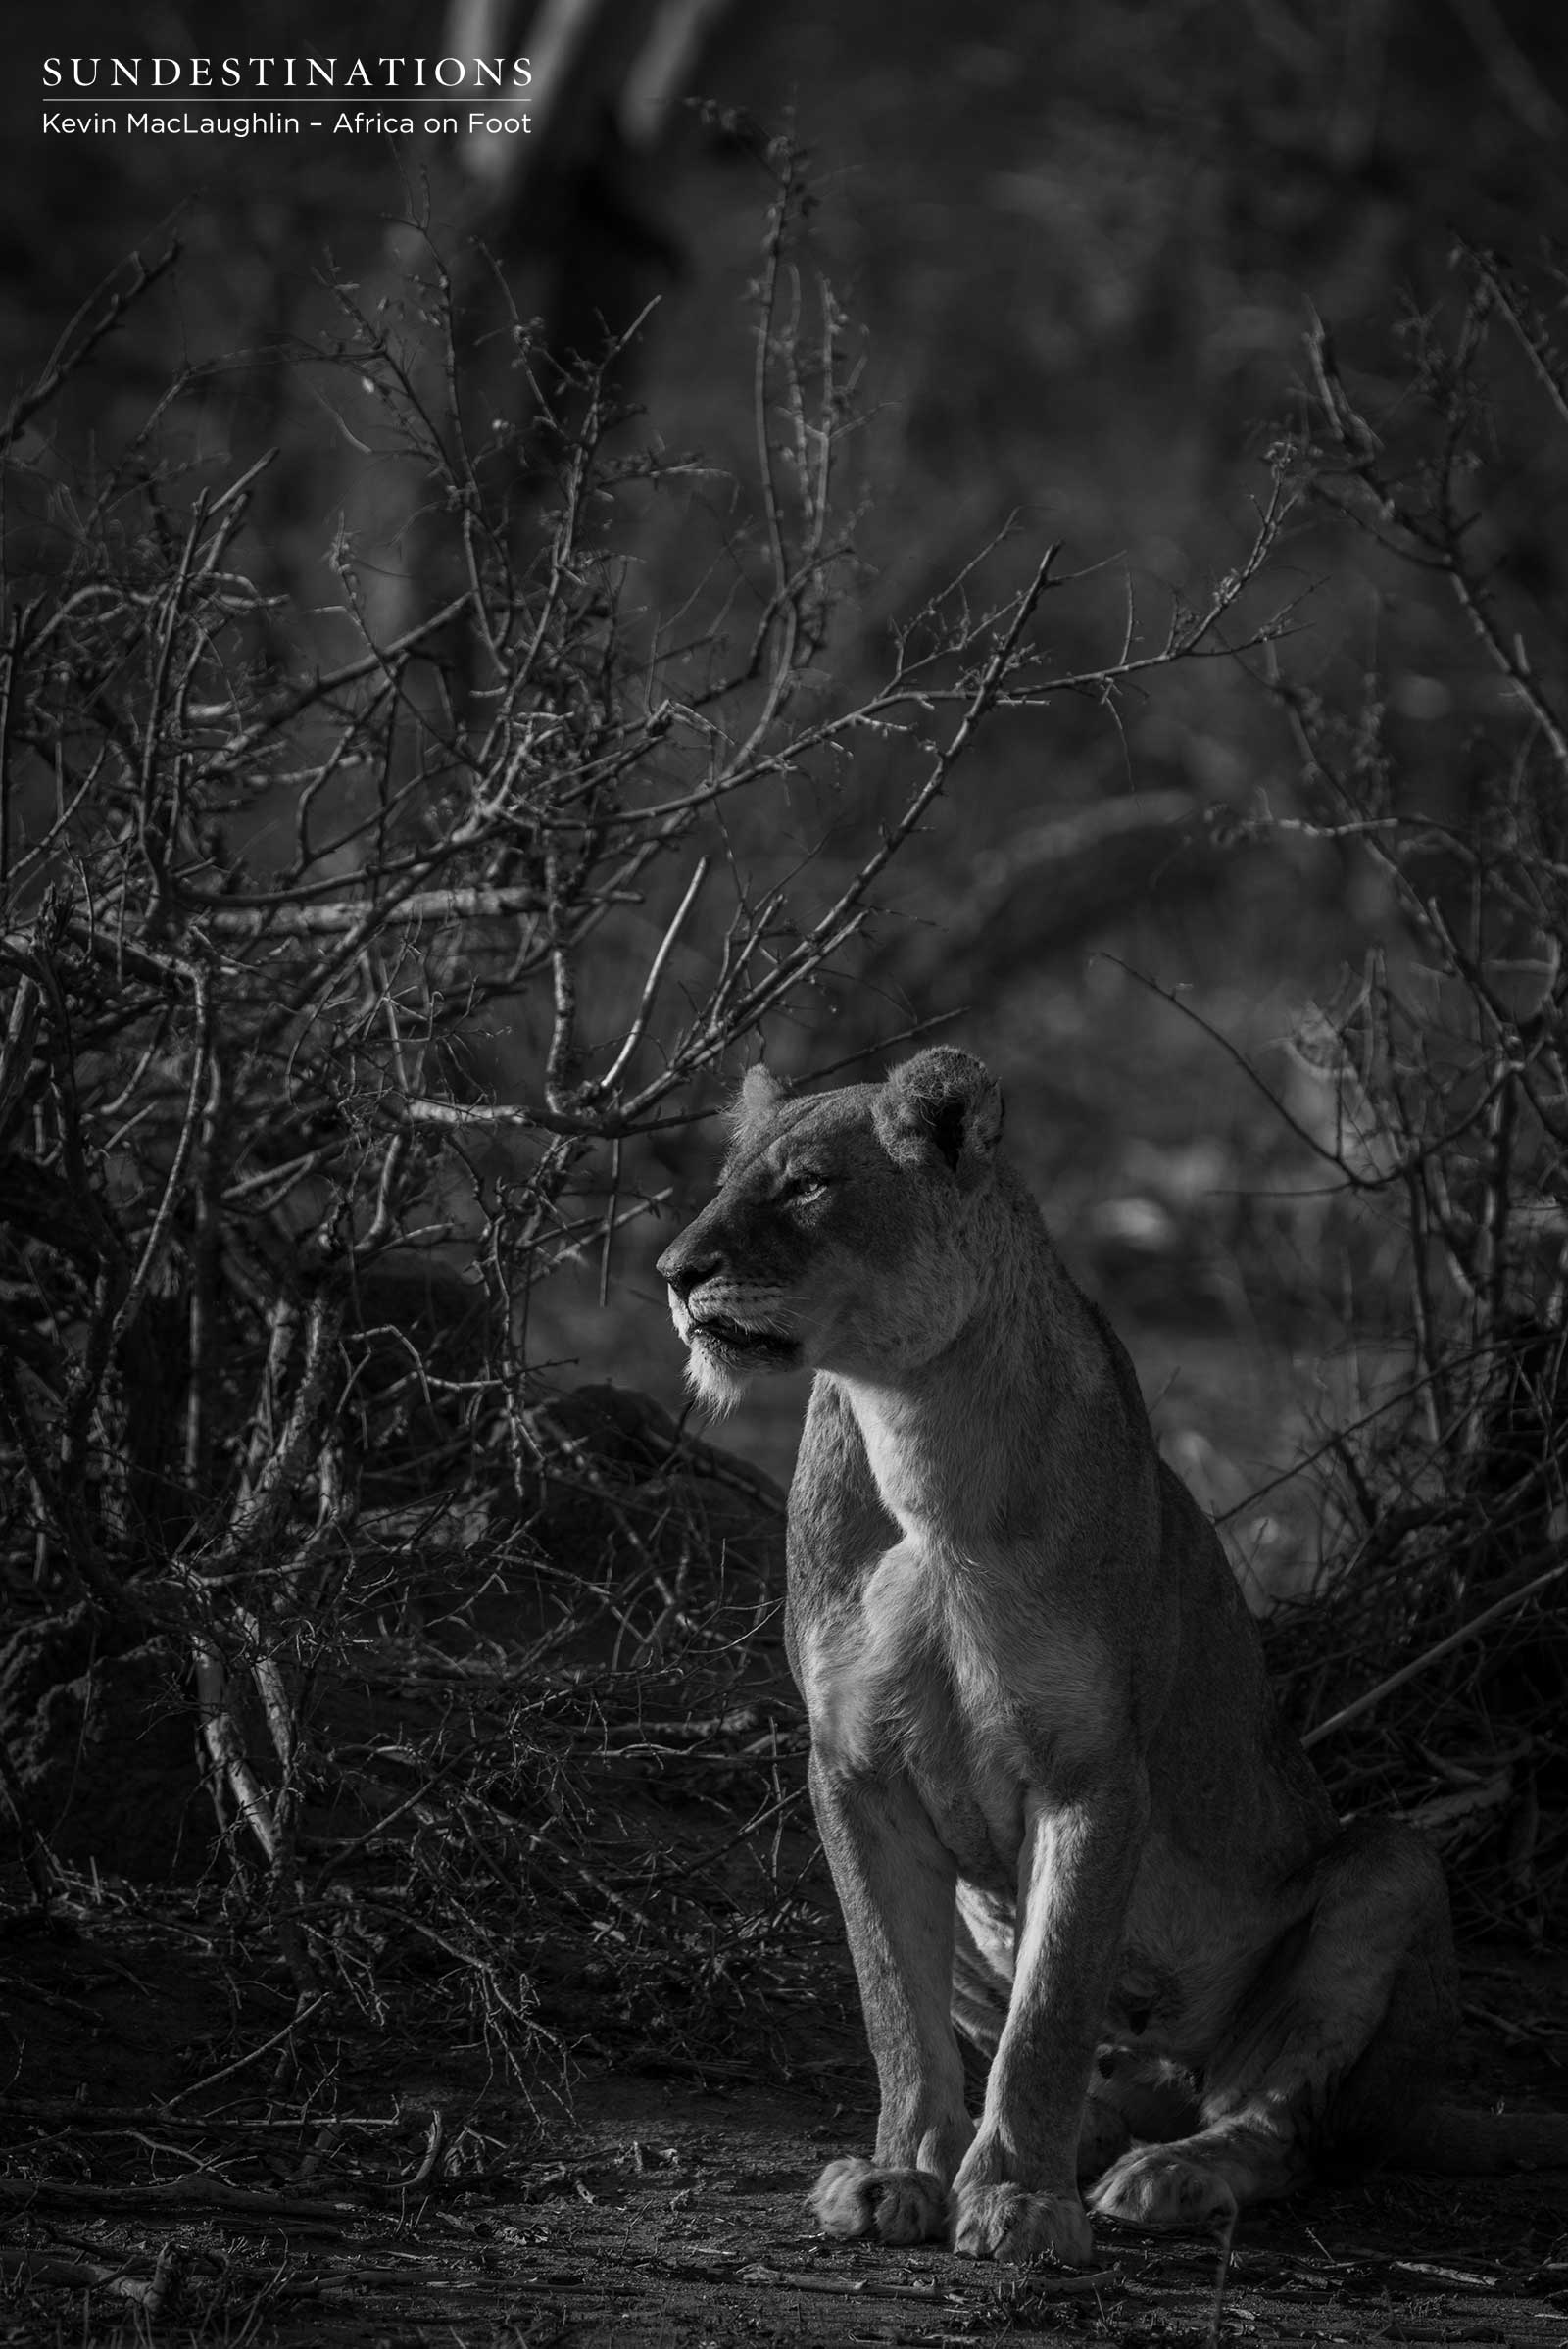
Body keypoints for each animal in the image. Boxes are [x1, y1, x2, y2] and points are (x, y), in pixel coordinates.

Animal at [655, 1047, 1568, 2267]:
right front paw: (901, 2174)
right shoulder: (852, 1770)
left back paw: (1169, 2174)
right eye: (722, 1183)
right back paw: (1068, 2136)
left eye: (806, 1186)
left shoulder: (1091, 1773)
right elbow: (894, 2003)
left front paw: (1016, 2200)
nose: (674, 1271)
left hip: (1391, 1868)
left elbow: (1049, 2011)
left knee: (1282, 2124)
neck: (918, 1435)